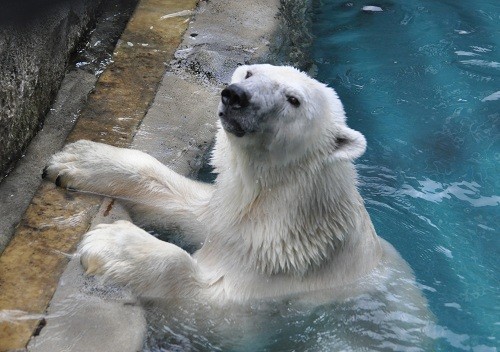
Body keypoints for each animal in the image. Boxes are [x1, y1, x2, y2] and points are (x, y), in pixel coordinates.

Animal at [45, 64, 430, 310]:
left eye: (293, 99)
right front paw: (78, 158)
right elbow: (191, 206)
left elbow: (208, 297)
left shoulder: (282, 274)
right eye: (250, 73)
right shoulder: (229, 220)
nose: (236, 96)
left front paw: (112, 243)